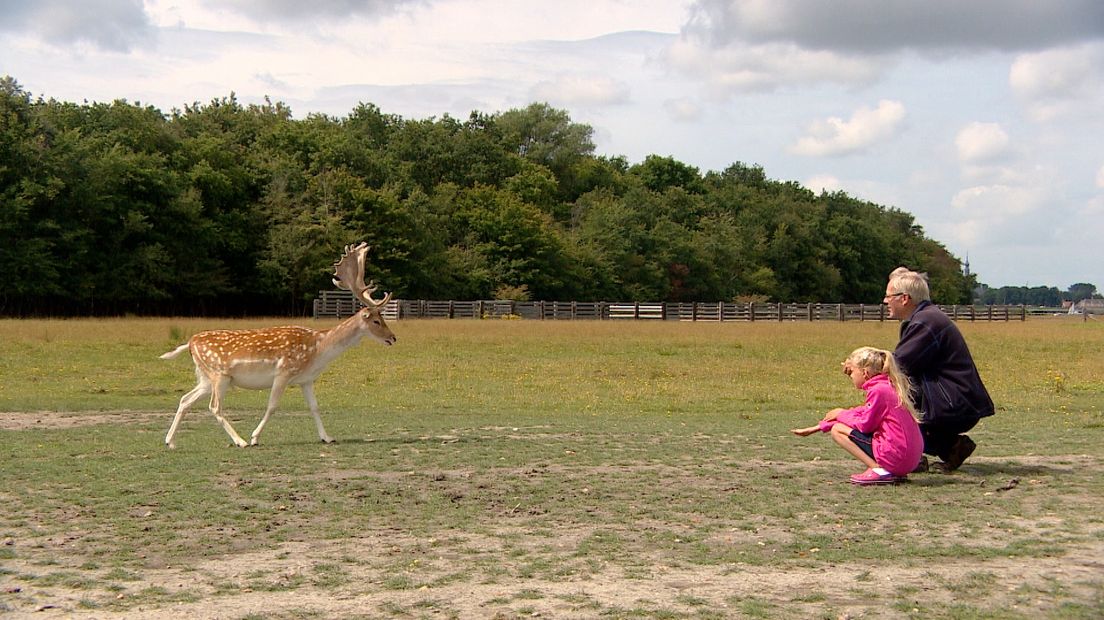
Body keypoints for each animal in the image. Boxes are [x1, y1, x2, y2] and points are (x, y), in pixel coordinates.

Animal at [155, 242, 397, 447]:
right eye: (376, 320)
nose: (393, 338)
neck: (318, 350)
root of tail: (190, 342)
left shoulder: (306, 379)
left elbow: (314, 407)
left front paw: (327, 437)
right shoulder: (284, 371)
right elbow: (272, 406)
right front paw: (255, 437)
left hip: (206, 378)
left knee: (185, 399)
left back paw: (170, 441)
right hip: (218, 374)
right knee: (214, 407)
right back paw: (240, 441)